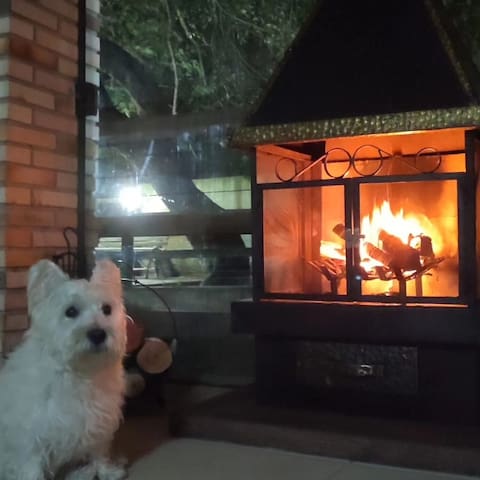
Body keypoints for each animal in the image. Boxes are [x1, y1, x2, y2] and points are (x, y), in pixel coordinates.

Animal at [0, 260, 127, 478]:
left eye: (107, 309)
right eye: (71, 311)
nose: (98, 334)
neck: (79, 373)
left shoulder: (99, 424)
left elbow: (99, 452)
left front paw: (106, 472)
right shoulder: (31, 440)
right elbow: (32, 469)